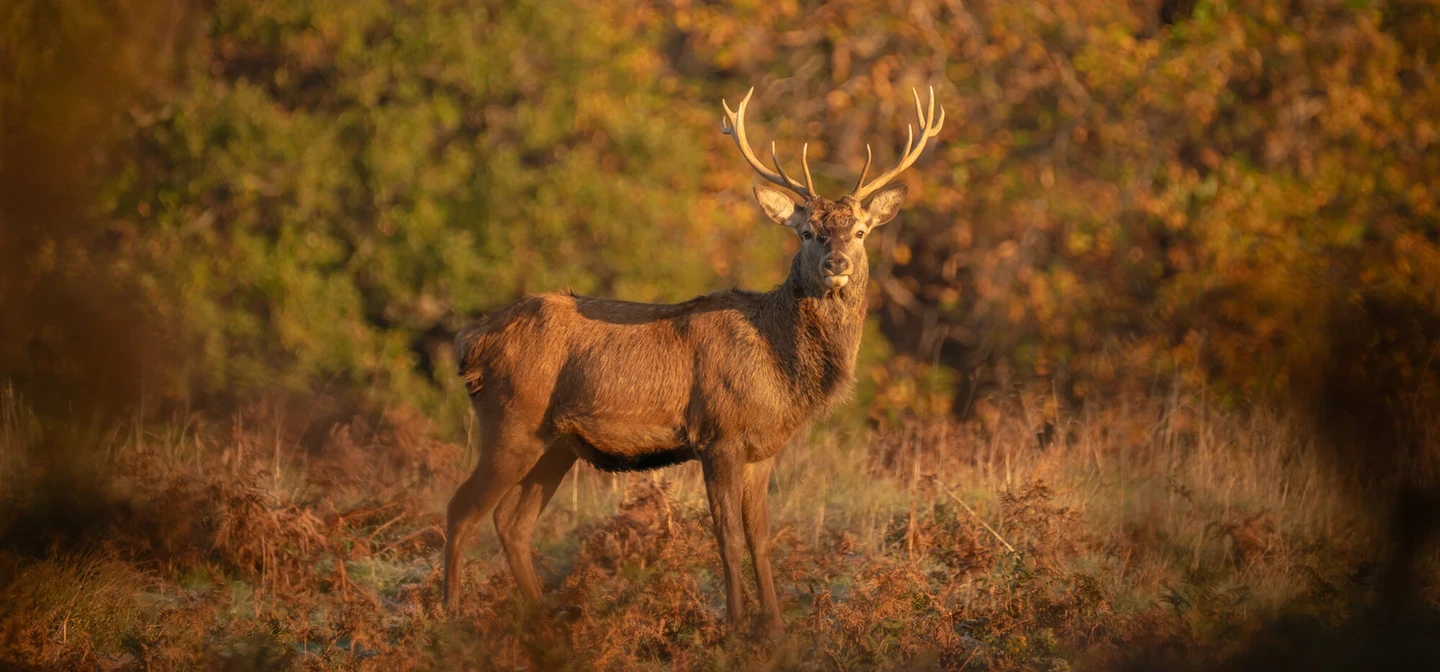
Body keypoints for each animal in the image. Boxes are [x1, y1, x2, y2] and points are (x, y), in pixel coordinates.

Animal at [443, 86, 944, 636]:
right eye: (809, 232)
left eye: (859, 231)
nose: (838, 264)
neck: (780, 365)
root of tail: (470, 342)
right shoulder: (718, 435)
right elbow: (726, 537)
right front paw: (734, 628)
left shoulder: (762, 450)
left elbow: (761, 538)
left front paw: (775, 629)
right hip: (511, 419)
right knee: (460, 510)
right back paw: (448, 620)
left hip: (555, 443)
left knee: (512, 524)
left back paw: (547, 626)